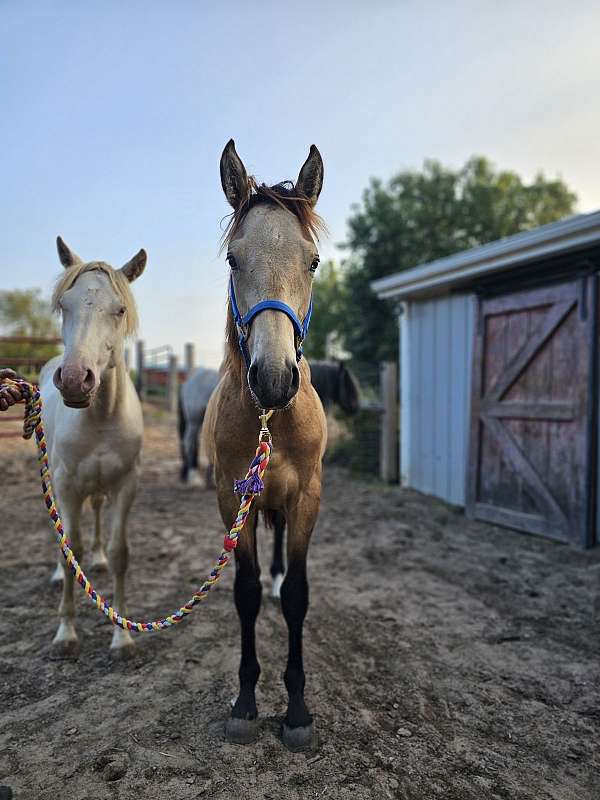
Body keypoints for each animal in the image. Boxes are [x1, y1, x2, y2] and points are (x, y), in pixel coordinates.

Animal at [40, 236, 146, 656]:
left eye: (120, 309)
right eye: (64, 305)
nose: (73, 379)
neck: (99, 416)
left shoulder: (126, 484)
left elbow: (120, 554)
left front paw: (122, 636)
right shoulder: (67, 486)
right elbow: (72, 551)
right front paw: (65, 633)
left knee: (98, 514)